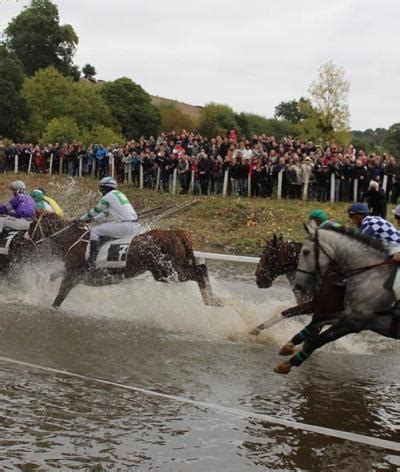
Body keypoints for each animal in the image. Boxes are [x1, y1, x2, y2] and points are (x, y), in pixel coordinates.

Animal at [34, 215, 220, 310]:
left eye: (33, 225)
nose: (30, 238)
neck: (73, 240)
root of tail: (175, 233)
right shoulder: (71, 273)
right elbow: (54, 276)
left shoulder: (73, 275)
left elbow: (59, 298)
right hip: (170, 269)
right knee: (202, 267)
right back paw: (214, 299)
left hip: (167, 272)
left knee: (198, 272)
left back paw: (210, 300)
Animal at [276, 223, 400, 374]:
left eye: (305, 252)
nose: (298, 285)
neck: (373, 278)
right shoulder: (347, 314)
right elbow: (316, 321)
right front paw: (288, 345)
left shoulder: (354, 323)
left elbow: (317, 340)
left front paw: (288, 363)